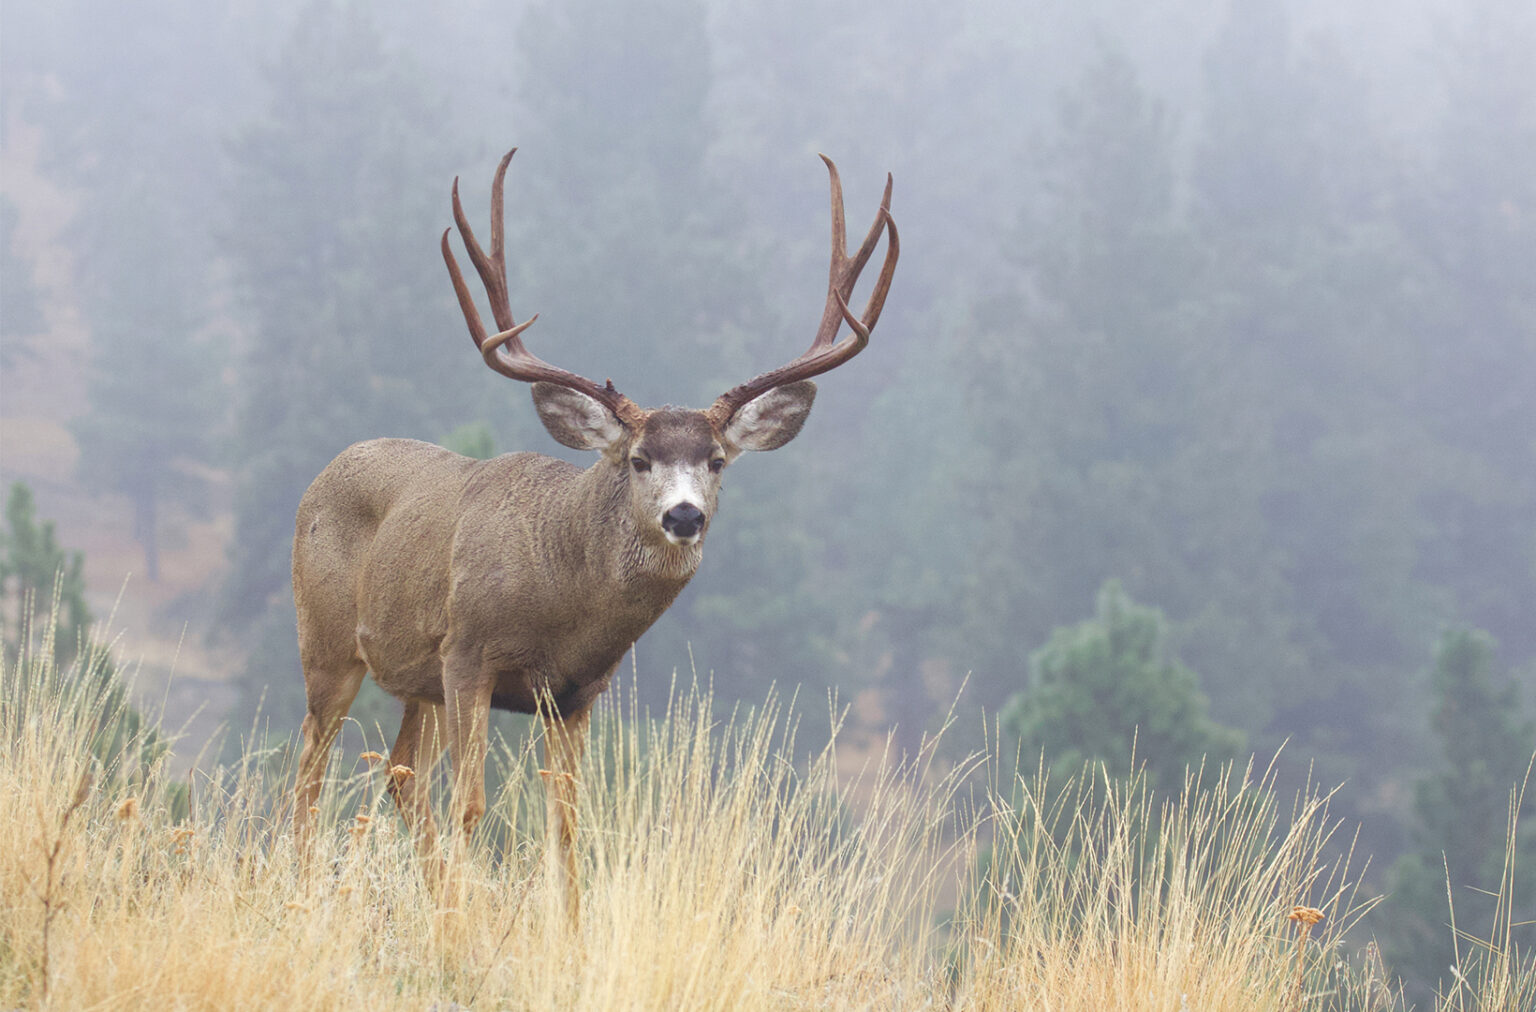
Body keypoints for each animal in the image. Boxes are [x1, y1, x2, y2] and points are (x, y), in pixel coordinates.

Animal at [291, 148, 897, 918]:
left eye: (716, 460)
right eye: (638, 459)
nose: (684, 515)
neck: (560, 602)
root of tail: (324, 472)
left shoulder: (577, 692)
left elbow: (568, 824)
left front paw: (564, 929)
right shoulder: (466, 652)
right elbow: (471, 806)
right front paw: (462, 928)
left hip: (412, 680)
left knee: (399, 774)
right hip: (329, 641)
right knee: (310, 766)